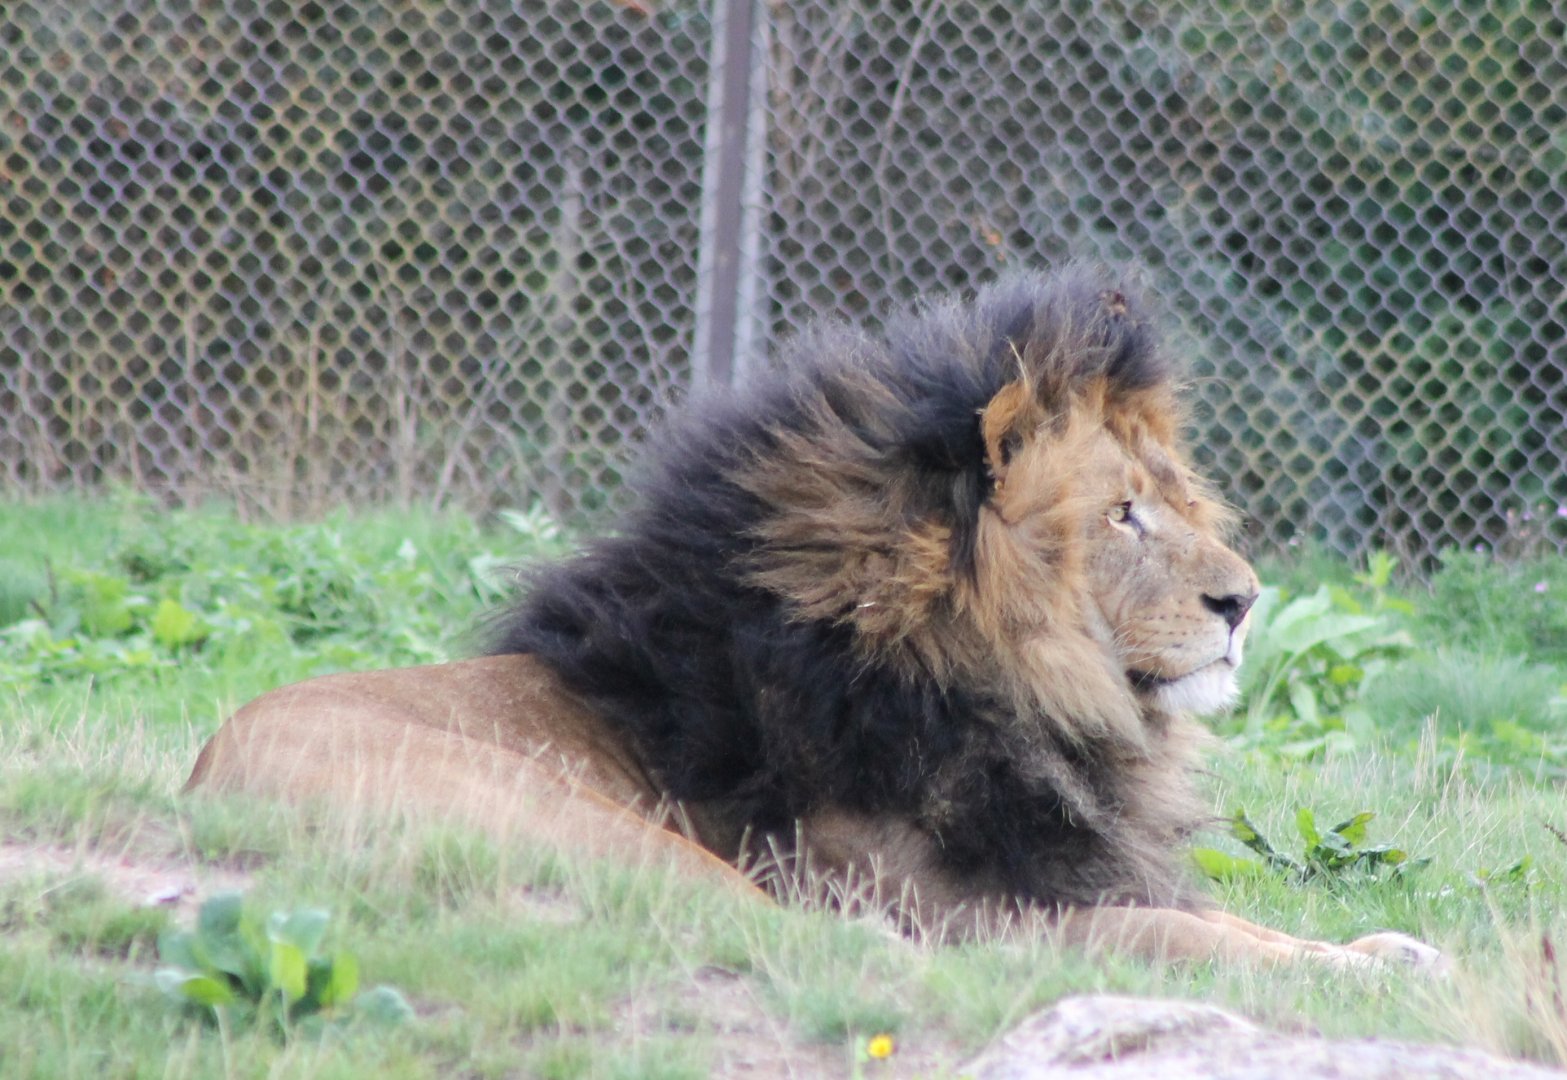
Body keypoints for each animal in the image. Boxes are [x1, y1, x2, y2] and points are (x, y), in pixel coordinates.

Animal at [187, 267, 1438, 969]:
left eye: (1176, 498)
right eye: (1120, 514)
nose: (1244, 600)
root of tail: (202, 779)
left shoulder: (1070, 869)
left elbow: (1240, 925)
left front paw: (1384, 948)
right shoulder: (986, 907)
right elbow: (1171, 935)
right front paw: (1355, 971)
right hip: (603, 830)